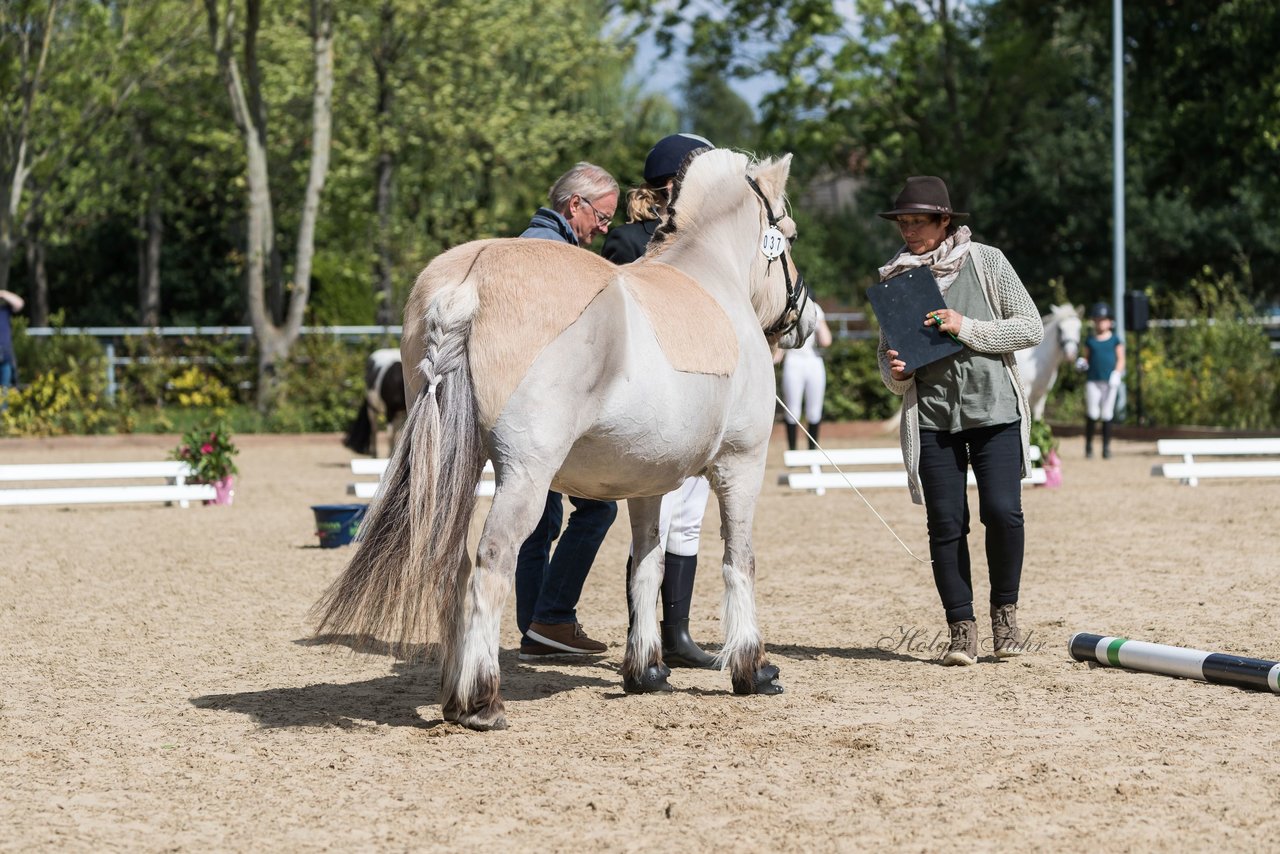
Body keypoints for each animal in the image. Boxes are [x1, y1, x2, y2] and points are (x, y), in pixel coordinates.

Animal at [307, 147, 819, 727]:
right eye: (789, 235)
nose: (806, 317)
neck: (712, 281)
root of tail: (466, 285)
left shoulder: (648, 482)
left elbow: (647, 566)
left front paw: (647, 672)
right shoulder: (741, 463)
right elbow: (740, 561)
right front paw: (754, 670)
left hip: (456, 466)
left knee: (453, 565)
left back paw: (454, 693)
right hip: (526, 476)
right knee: (491, 563)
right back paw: (481, 702)